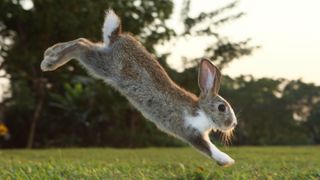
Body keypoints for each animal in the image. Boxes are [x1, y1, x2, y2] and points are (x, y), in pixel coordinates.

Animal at [40, 9, 236, 167]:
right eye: (222, 107)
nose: (233, 124)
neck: (202, 110)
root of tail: (119, 37)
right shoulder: (190, 132)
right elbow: (208, 148)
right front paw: (227, 161)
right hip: (104, 65)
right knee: (80, 46)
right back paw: (49, 62)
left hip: (103, 55)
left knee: (83, 40)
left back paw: (50, 53)